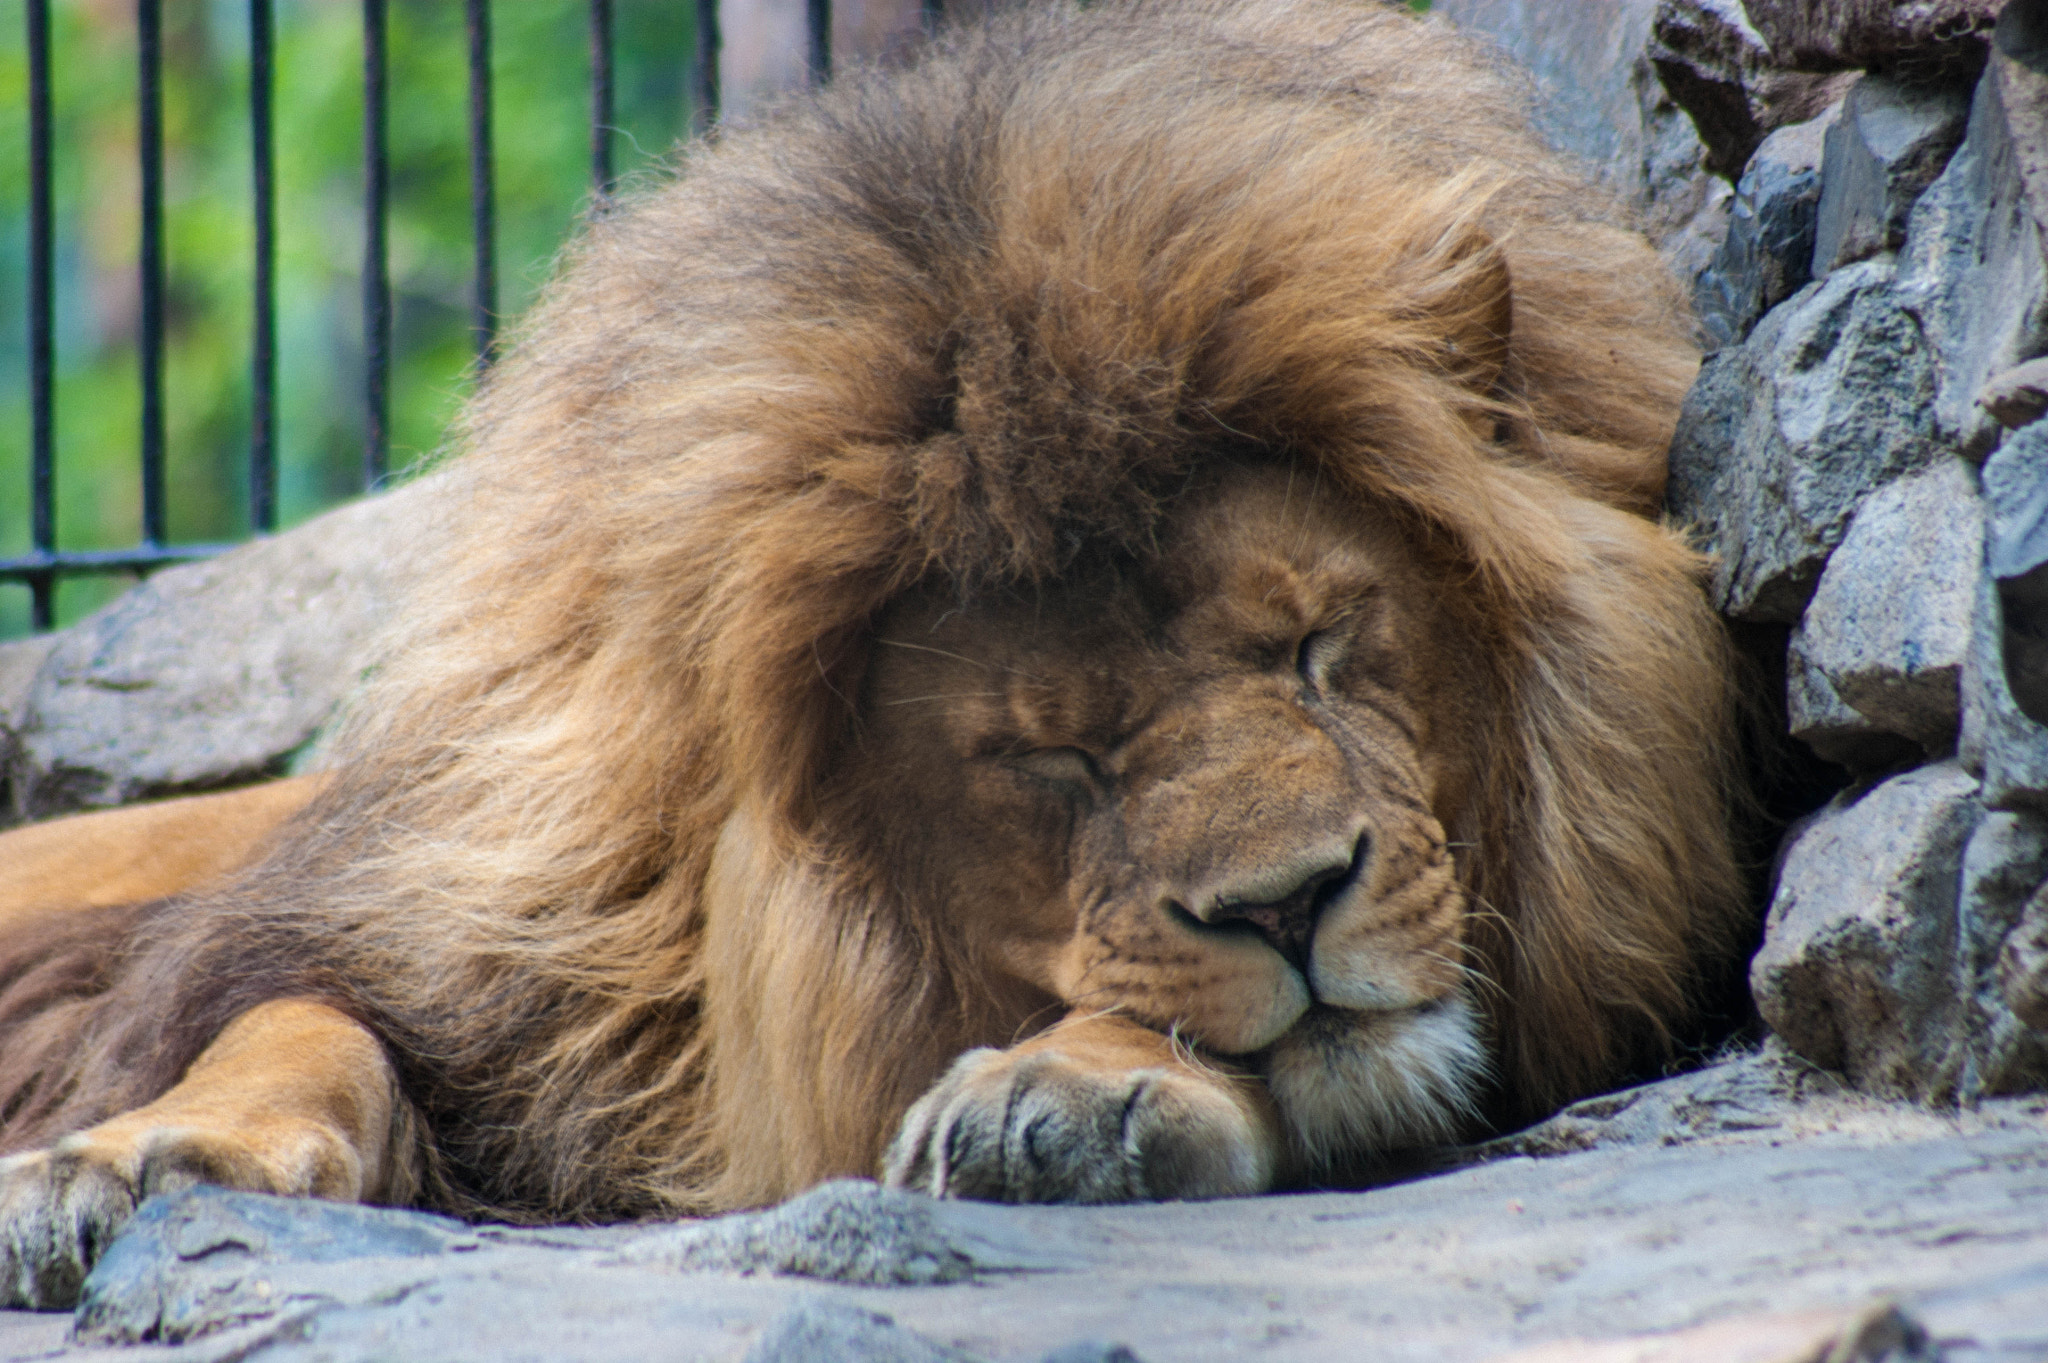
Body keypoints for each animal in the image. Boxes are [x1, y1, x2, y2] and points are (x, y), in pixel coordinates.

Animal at [0, 0, 1744, 1309]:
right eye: (1054, 755)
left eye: (1321, 645)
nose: (1287, 903)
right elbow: (292, 1020)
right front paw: (135, 1157)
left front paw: (1080, 1089)